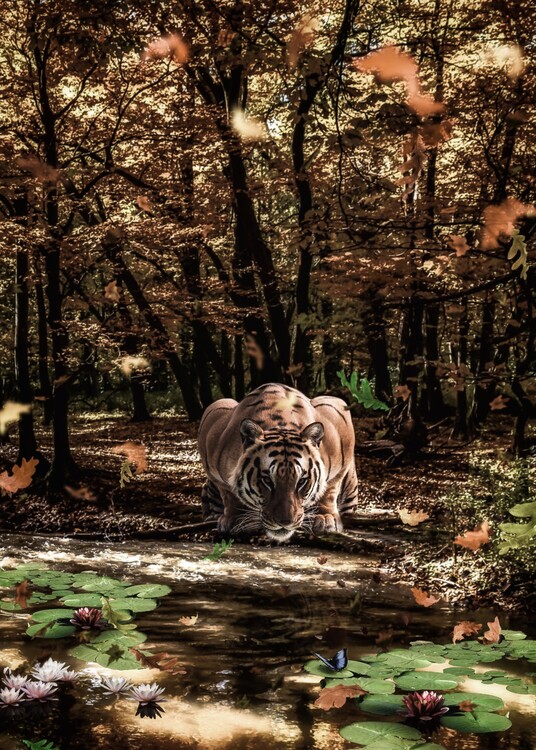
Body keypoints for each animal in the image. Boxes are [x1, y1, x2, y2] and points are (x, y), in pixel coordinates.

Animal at [197, 383, 359, 542]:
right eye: (267, 480)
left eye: (302, 481)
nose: (285, 522)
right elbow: (229, 493)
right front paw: (236, 519)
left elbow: (329, 489)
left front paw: (325, 518)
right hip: (220, 403)